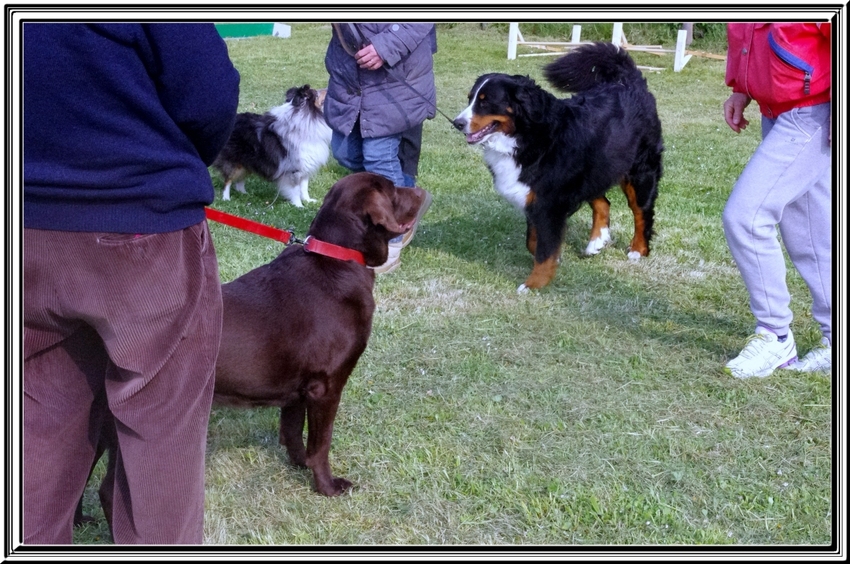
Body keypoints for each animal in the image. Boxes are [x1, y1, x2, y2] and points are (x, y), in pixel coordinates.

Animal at [450, 41, 664, 294]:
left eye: (485, 101)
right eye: (470, 98)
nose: (457, 123)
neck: (527, 136)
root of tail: (628, 81)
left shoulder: (549, 203)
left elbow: (544, 250)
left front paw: (533, 284)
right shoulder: (534, 199)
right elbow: (534, 242)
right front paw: (555, 261)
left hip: (640, 173)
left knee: (642, 213)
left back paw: (638, 249)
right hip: (592, 170)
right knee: (603, 203)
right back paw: (596, 242)